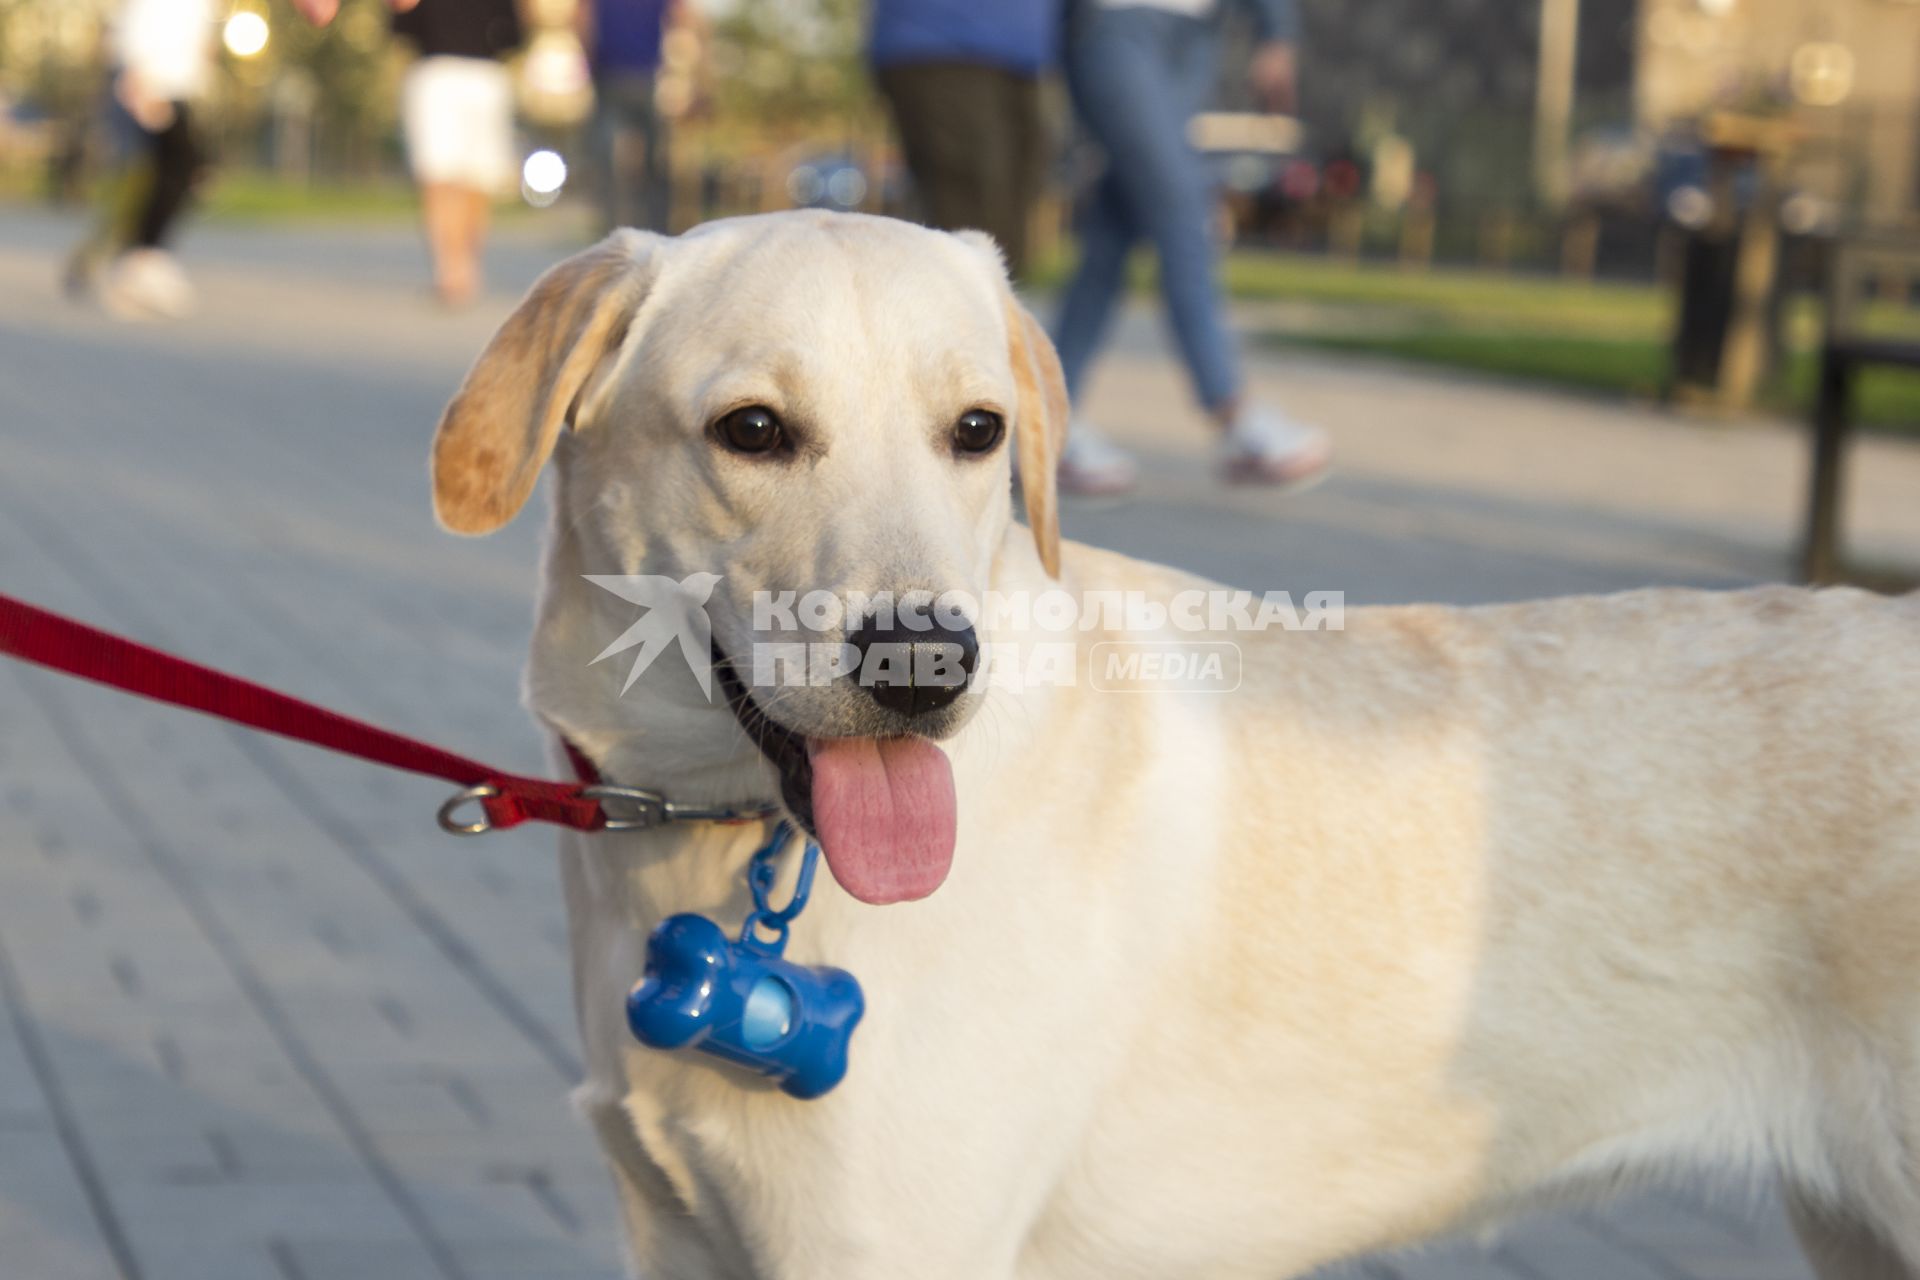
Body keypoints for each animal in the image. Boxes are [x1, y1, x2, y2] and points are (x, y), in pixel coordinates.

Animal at [432, 213, 1920, 1280]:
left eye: (977, 431)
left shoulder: (886, 1246)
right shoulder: (683, 1236)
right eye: (751, 429)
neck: (701, 837)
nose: (927, 663)